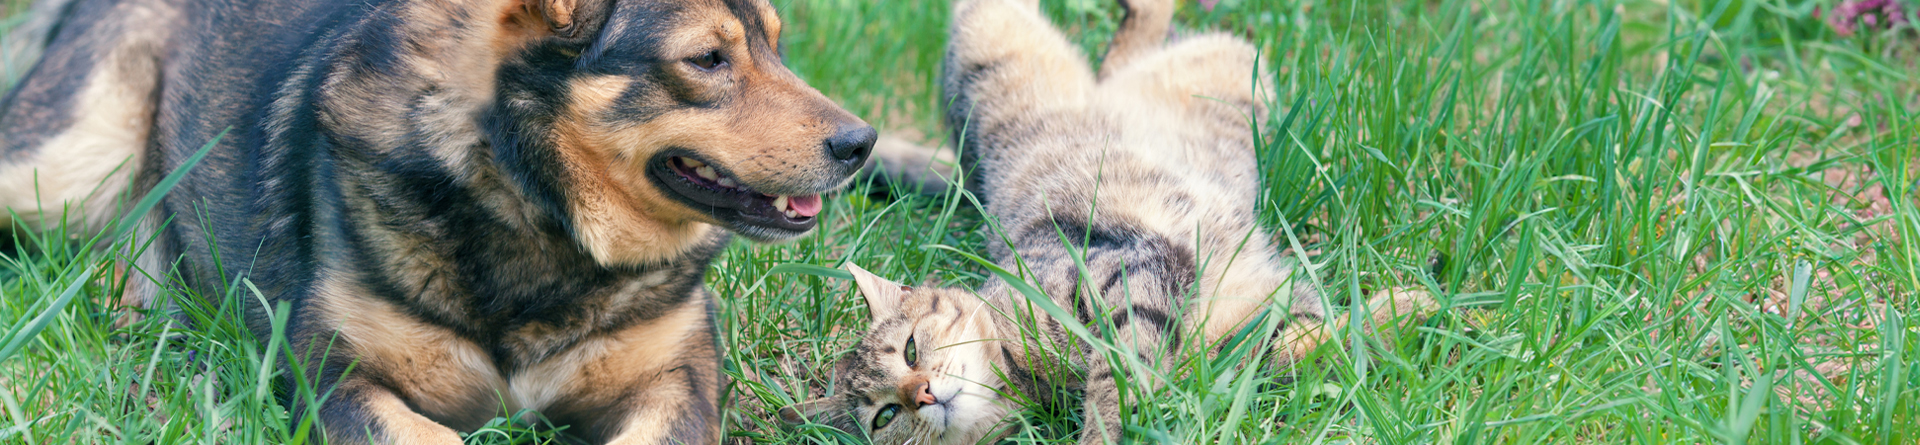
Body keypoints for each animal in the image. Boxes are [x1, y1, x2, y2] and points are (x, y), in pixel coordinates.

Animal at [0, 0, 879, 441]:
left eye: (778, 45)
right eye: (707, 59)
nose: (861, 143)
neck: (538, 213)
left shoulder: (677, 377)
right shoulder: (335, 377)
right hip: (64, 166)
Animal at [775, 0, 1428, 441]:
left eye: (911, 349)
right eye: (886, 414)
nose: (924, 393)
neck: (1022, 371)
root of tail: (967, 179)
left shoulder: (1131, 267)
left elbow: (1118, 373)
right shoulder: (1234, 335)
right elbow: (1299, 347)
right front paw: (1406, 312)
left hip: (990, 28)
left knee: (1117, 53)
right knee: (1128, 55)